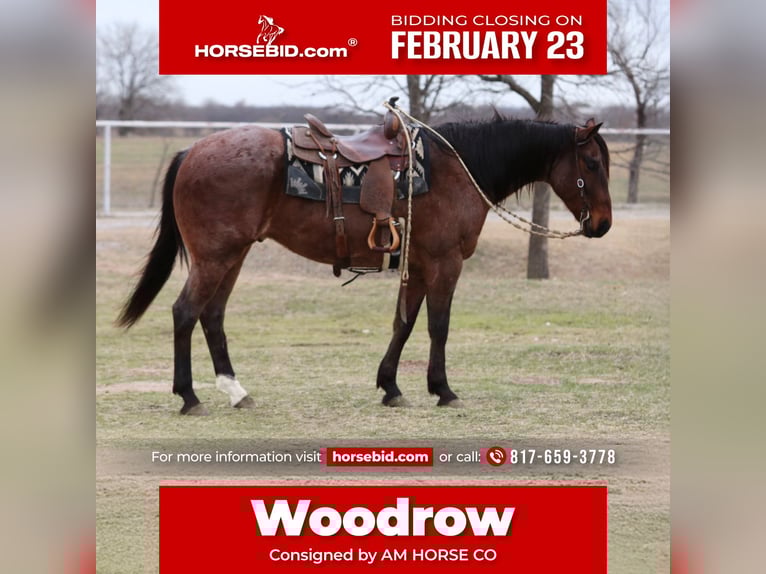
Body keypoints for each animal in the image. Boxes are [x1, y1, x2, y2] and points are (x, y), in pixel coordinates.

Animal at [116, 115, 612, 415]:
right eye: (591, 162)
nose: (603, 224)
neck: (458, 169)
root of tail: (192, 152)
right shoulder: (445, 263)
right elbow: (438, 327)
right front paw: (443, 390)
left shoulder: (417, 264)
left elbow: (403, 325)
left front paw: (391, 386)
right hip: (215, 257)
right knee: (185, 312)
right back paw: (189, 395)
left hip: (232, 257)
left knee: (212, 316)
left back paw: (236, 392)